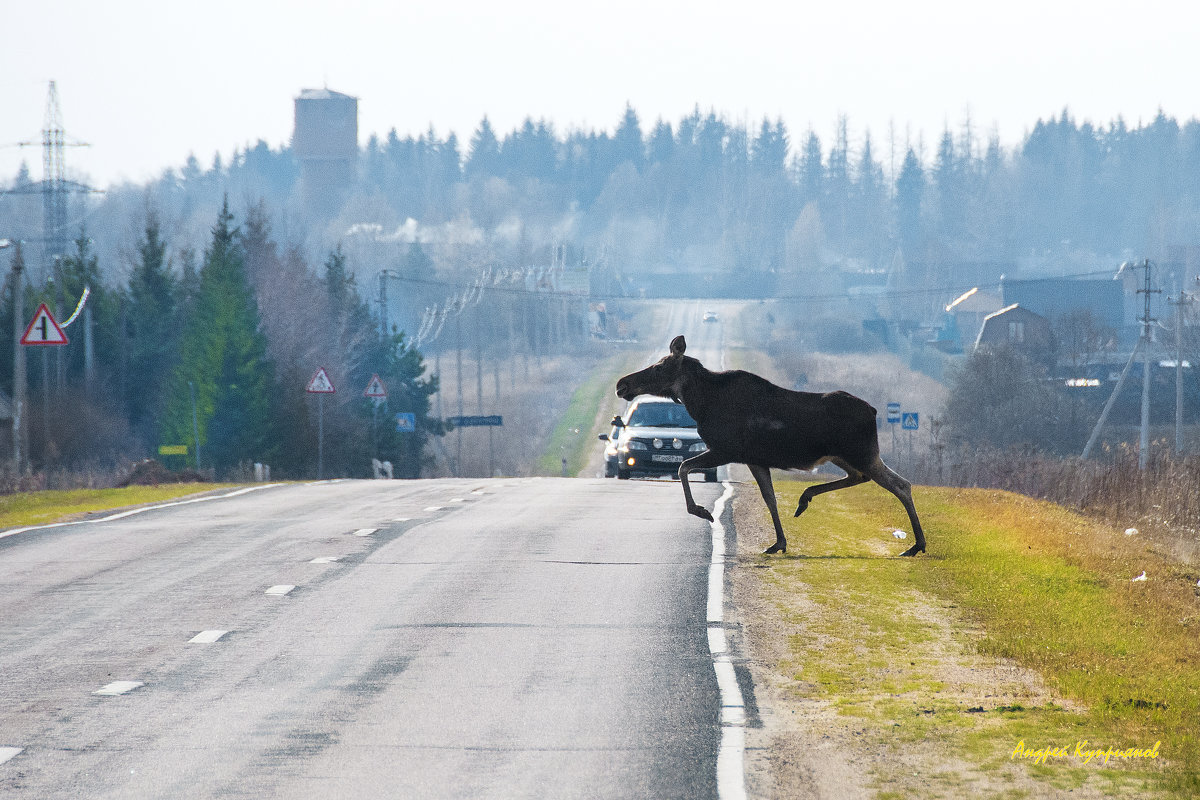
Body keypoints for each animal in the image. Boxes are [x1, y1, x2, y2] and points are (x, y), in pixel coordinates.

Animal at [614, 335, 921, 556]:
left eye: (659, 367)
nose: (621, 384)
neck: (699, 403)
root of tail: (874, 411)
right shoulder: (755, 459)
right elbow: (769, 498)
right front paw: (779, 542)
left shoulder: (726, 450)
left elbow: (682, 467)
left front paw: (702, 511)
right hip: (845, 456)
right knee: (863, 477)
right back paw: (805, 498)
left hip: (861, 453)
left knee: (901, 484)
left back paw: (916, 545)